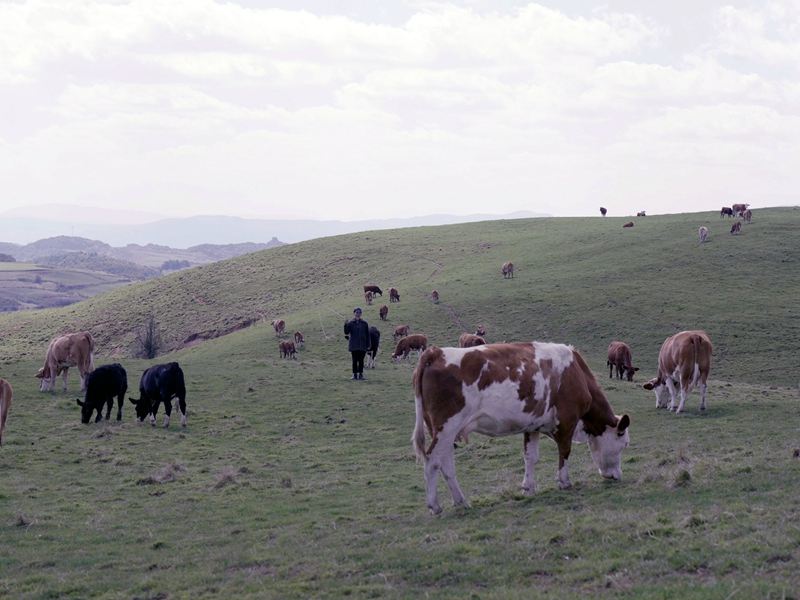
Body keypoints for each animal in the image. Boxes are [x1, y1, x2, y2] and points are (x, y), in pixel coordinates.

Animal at [412, 342, 632, 516]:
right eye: (623, 442)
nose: (618, 475)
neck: (576, 372)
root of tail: (435, 352)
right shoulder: (566, 420)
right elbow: (564, 451)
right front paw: (564, 482)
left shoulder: (532, 424)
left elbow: (530, 457)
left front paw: (528, 488)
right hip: (447, 425)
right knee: (432, 461)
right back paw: (435, 506)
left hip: (444, 431)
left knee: (446, 464)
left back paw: (461, 501)